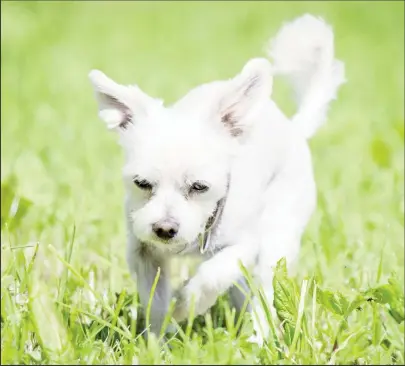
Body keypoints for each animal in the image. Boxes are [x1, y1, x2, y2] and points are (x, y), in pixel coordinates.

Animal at [87, 14, 344, 344]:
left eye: (200, 187)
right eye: (141, 184)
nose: (164, 228)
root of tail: (293, 129)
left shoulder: (244, 246)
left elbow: (210, 276)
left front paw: (184, 305)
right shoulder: (142, 252)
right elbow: (155, 301)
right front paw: (156, 340)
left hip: (277, 240)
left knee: (263, 293)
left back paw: (257, 339)